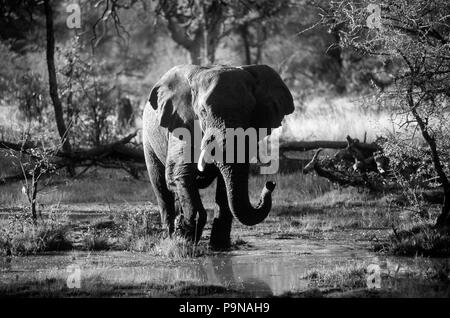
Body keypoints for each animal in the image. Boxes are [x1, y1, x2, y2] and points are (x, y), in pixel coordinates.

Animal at [142, 64, 294, 248]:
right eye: (203, 111)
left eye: (251, 111)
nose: (270, 184)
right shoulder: (182, 126)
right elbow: (179, 174)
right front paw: (185, 239)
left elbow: (225, 186)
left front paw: (218, 247)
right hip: (148, 138)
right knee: (160, 186)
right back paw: (169, 237)